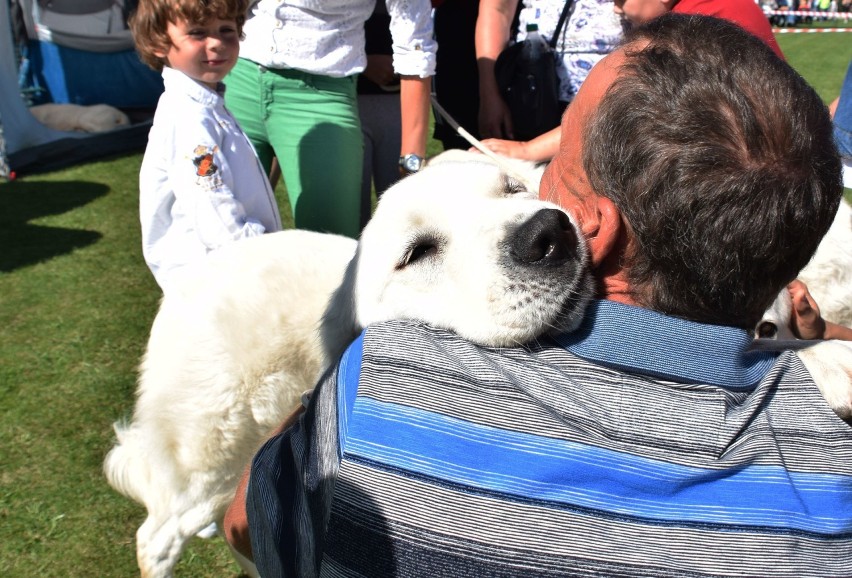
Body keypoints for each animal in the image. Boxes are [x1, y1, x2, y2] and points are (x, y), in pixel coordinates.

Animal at [103, 154, 592, 576]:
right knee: (157, 537)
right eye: (417, 253)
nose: (548, 234)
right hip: (213, 454)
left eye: (514, 189)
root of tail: (183, 286)